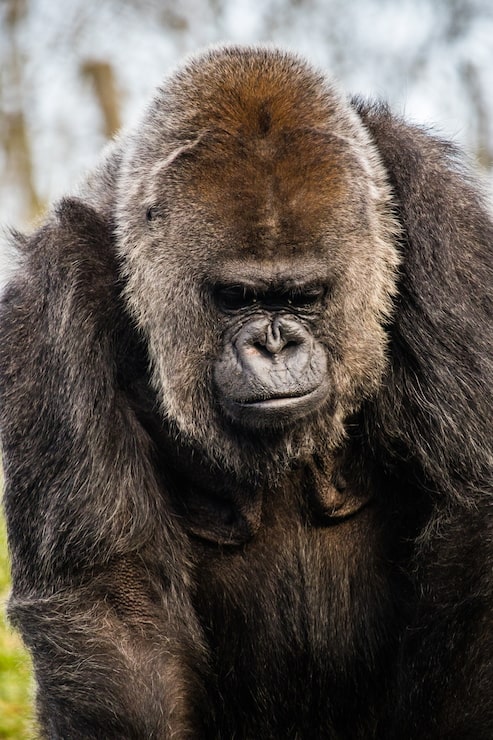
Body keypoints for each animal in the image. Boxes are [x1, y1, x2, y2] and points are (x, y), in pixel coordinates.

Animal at [0, 44, 492, 739]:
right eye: (235, 297)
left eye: (303, 297)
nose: (275, 344)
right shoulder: (55, 293)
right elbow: (111, 602)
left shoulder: (439, 217)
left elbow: (475, 515)